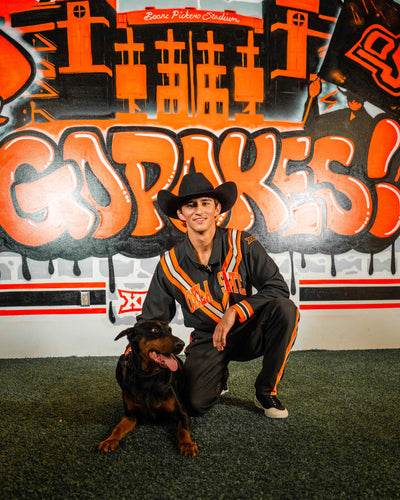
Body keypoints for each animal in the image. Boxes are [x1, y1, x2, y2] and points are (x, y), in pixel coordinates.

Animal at [98, 320, 198, 457]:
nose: (181, 344)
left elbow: (183, 429)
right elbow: (118, 428)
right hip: (121, 360)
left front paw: (187, 444)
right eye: (154, 330)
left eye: (170, 330)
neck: (148, 376)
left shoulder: (182, 413)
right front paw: (109, 440)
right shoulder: (131, 415)